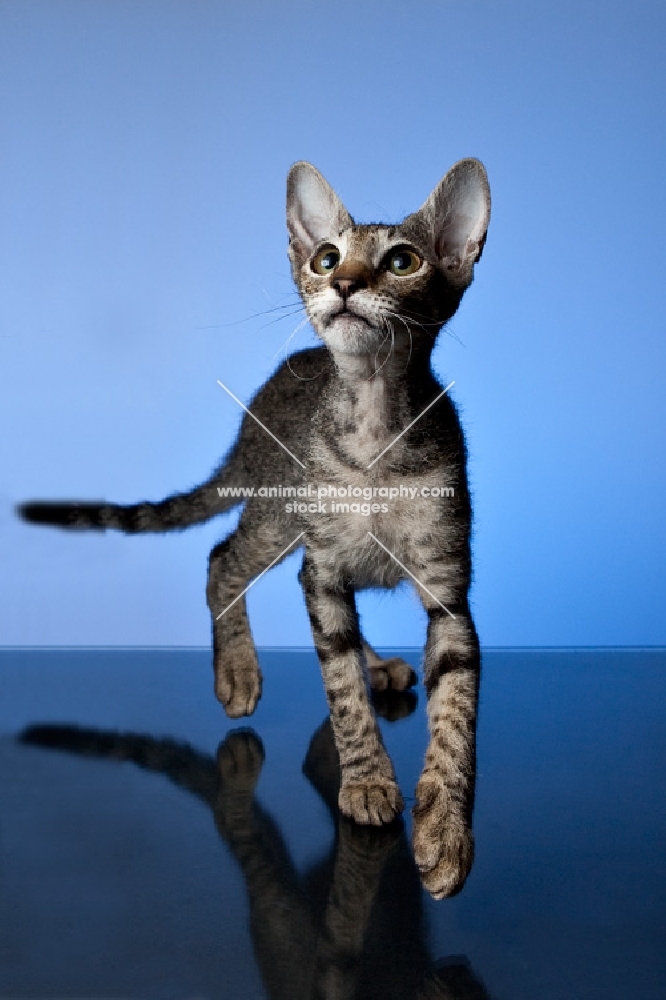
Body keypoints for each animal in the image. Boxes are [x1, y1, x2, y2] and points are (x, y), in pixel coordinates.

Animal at [19, 158, 488, 900]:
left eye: (402, 261)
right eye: (326, 258)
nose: (346, 282)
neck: (375, 425)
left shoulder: (448, 587)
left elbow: (456, 713)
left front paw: (444, 831)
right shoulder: (326, 565)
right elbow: (341, 692)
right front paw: (367, 781)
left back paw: (374, 663)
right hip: (280, 520)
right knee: (222, 558)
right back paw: (238, 671)